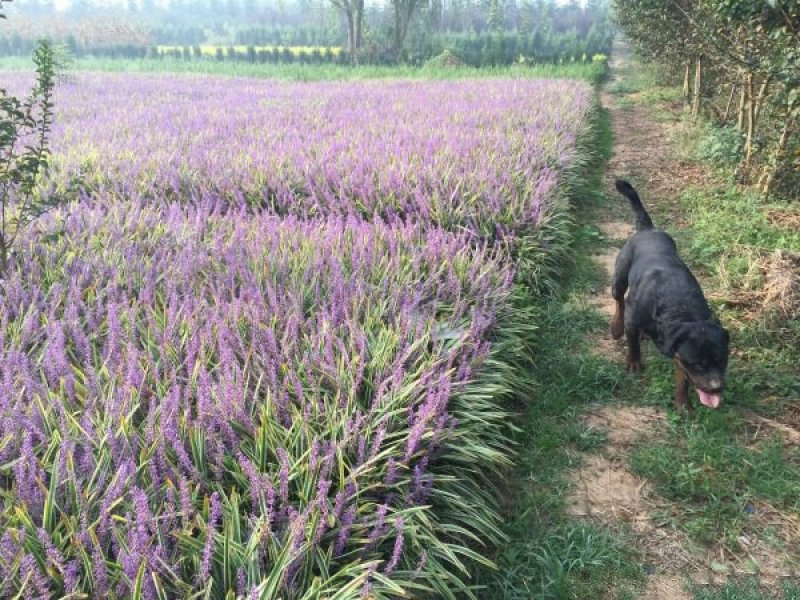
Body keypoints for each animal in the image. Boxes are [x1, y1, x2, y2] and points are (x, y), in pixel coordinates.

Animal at [608, 180, 728, 410]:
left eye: (723, 360)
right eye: (699, 364)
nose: (716, 388)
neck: (678, 309)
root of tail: (648, 228)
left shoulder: (681, 348)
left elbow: (683, 377)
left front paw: (682, 402)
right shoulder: (634, 318)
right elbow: (633, 343)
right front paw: (634, 361)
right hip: (620, 274)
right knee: (619, 299)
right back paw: (617, 327)